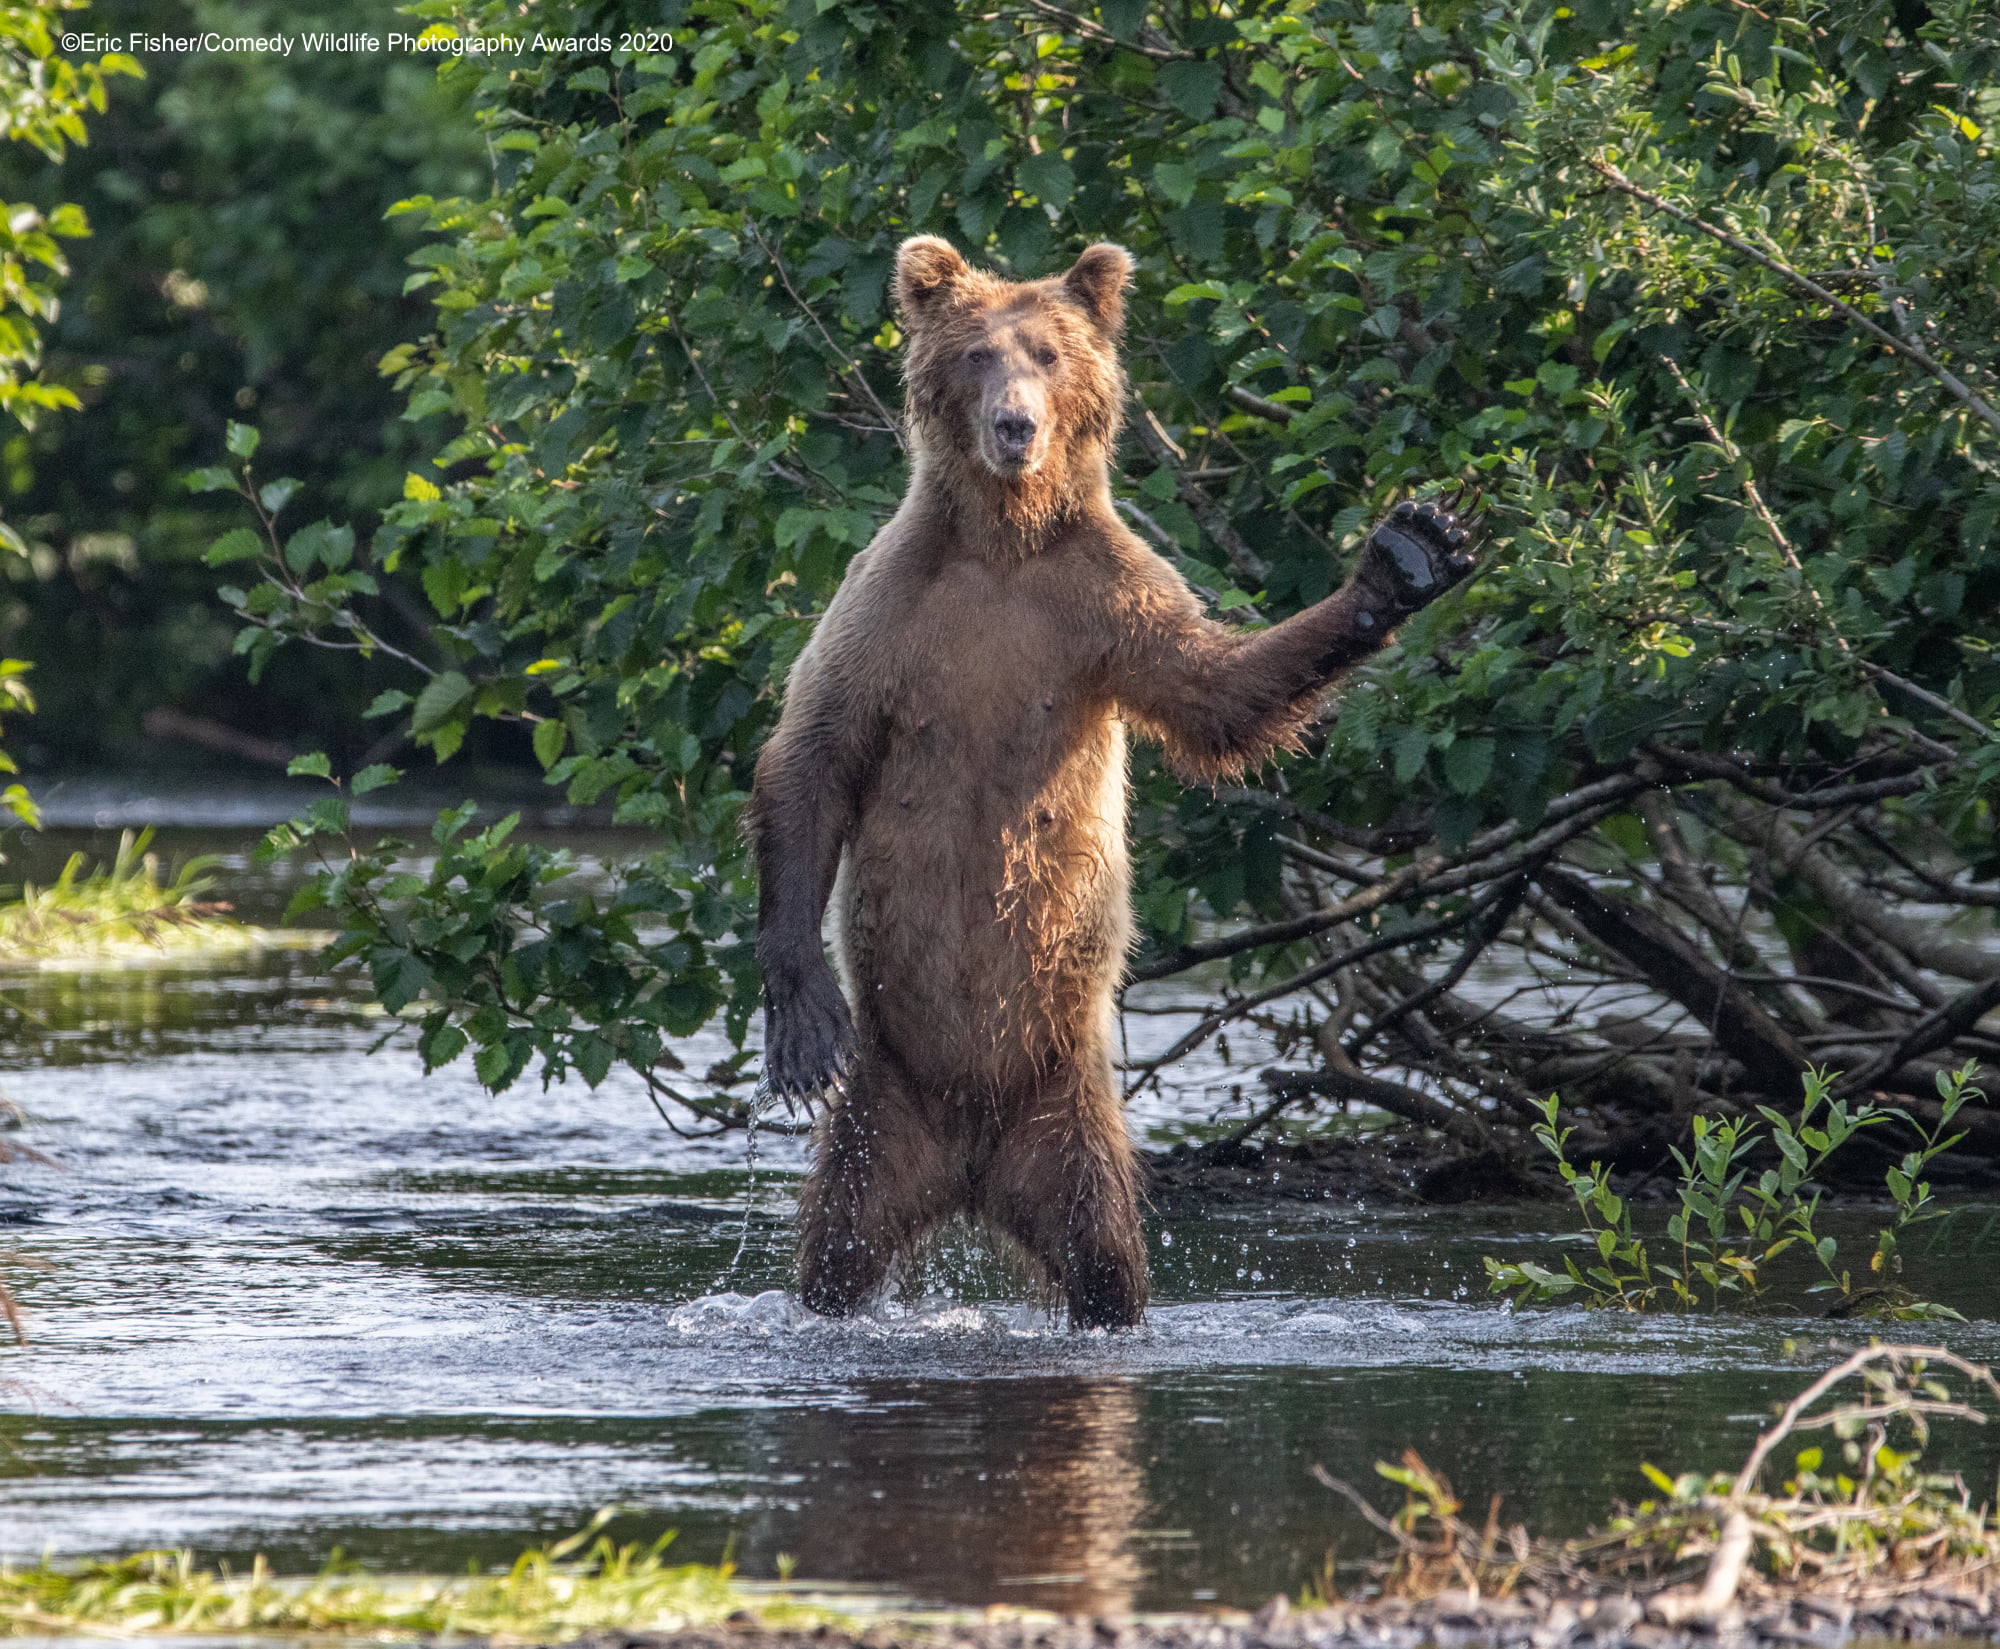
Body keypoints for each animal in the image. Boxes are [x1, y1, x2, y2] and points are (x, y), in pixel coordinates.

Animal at [748, 238, 1472, 1336]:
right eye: (976, 352)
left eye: (1048, 353)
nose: (1014, 424)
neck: (1003, 546)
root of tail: (968, 1161)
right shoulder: (887, 609)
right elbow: (812, 757)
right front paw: (801, 1023)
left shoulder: (1104, 601)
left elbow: (1216, 693)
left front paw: (1405, 556)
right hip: (884, 1103)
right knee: (836, 1245)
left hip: (1069, 1112)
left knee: (1102, 1253)